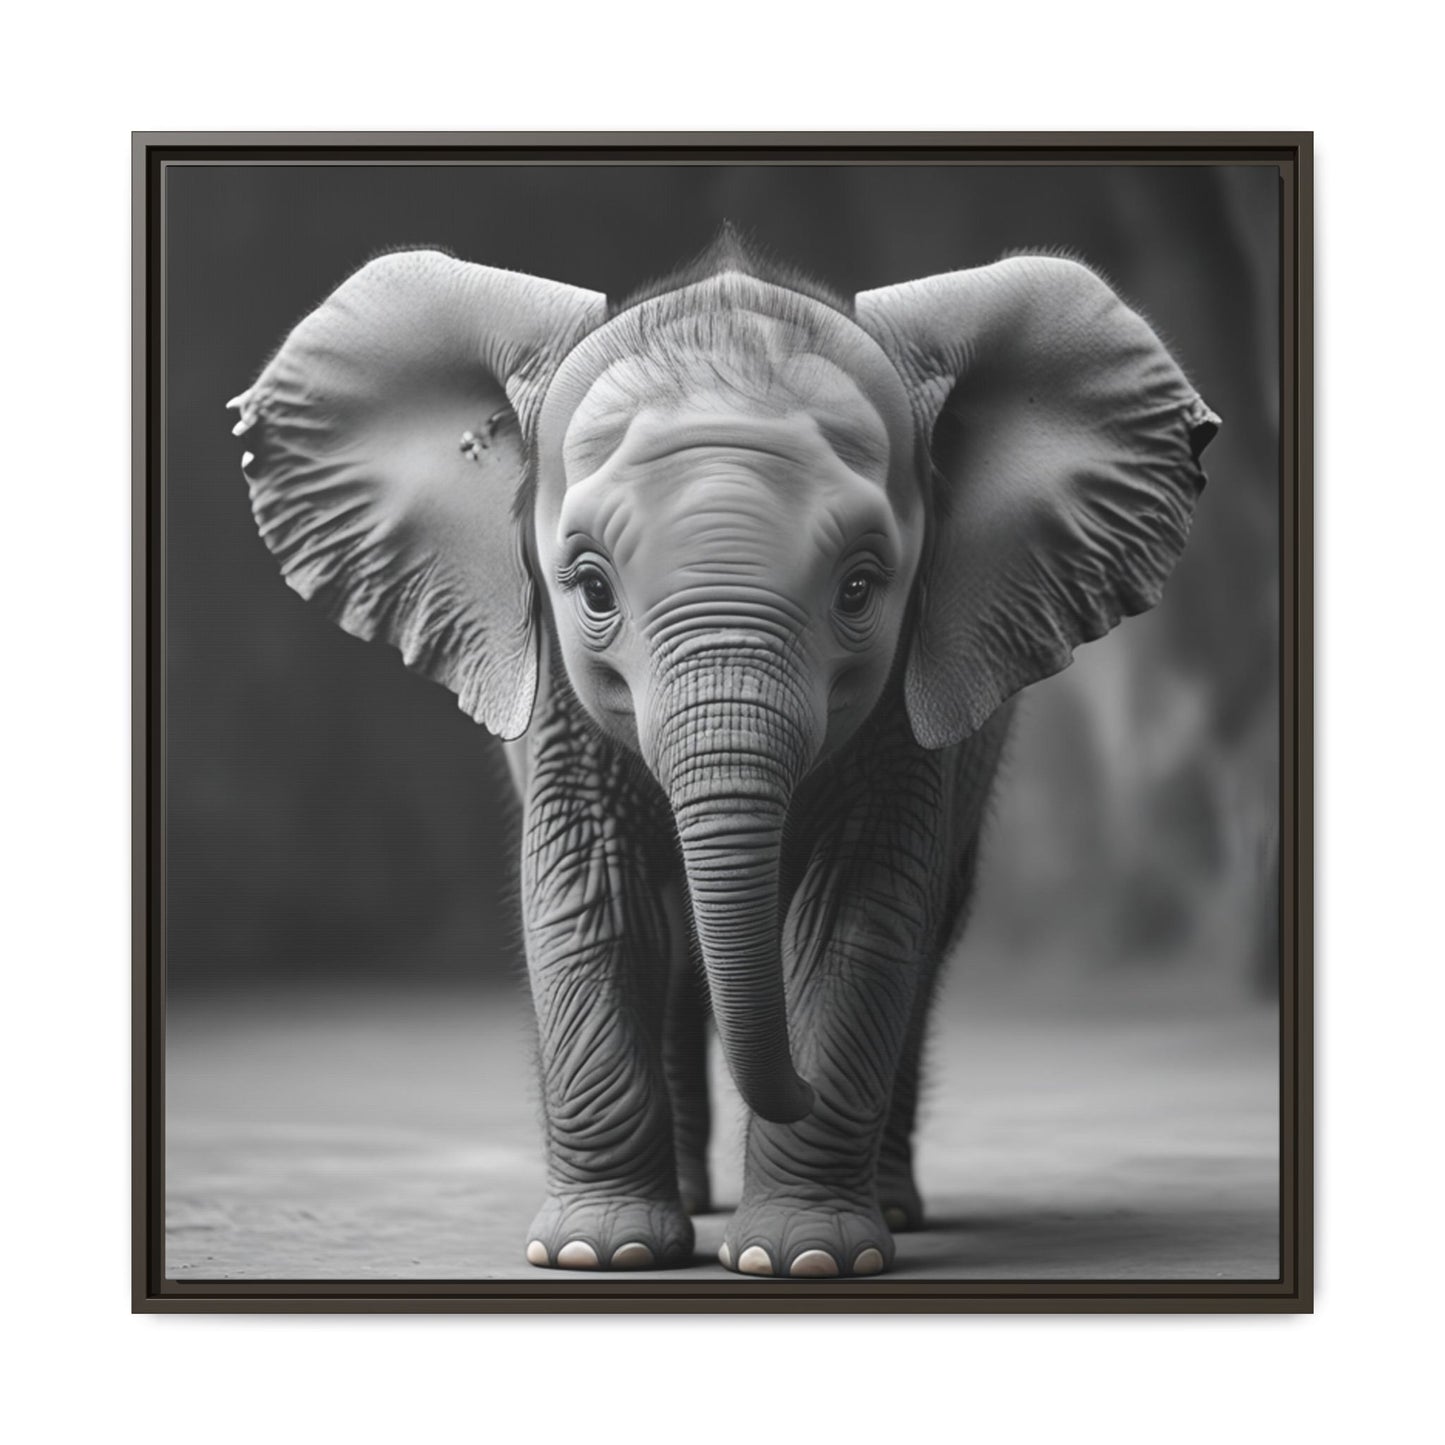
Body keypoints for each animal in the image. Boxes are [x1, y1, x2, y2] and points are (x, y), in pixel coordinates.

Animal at [230, 230, 1218, 1279]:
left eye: (861, 588)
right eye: (590, 586)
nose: (797, 1091)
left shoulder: (907, 695)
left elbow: (857, 913)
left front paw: (805, 1258)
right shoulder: (556, 696)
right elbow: (593, 894)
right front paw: (596, 1252)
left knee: (921, 937)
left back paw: (888, 1207)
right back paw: (691, 1205)